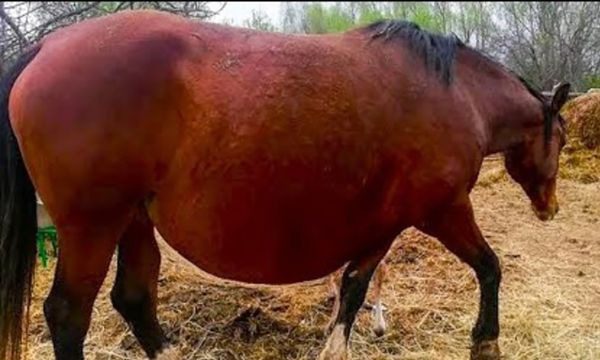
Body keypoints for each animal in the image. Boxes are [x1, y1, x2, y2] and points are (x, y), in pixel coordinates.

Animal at [0, 9, 568, 360]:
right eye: (561, 139)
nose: (550, 208)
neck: (459, 95)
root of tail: (46, 45)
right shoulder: (444, 211)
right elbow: (489, 268)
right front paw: (486, 342)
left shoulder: (381, 227)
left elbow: (353, 289)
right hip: (92, 227)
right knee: (68, 314)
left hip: (133, 219)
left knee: (135, 299)